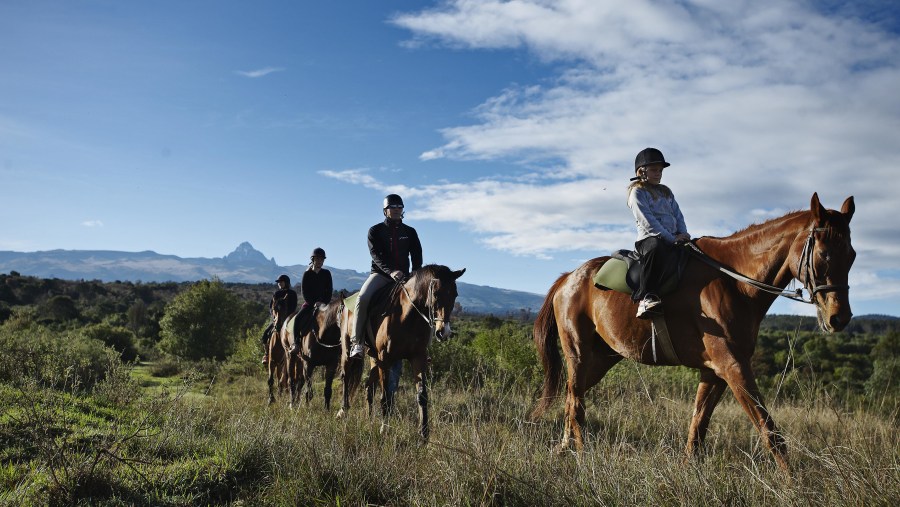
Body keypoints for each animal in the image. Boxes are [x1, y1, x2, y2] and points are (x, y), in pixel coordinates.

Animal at [336, 264, 464, 442]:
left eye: (455, 294)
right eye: (436, 293)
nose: (443, 332)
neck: (408, 315)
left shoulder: (418, 358)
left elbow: (422, 395)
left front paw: (424, 434)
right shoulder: (385, 359)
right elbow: (385, 397)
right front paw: (384, 429)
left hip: (374, 358)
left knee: (369, 387)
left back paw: (369, 420)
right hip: (348, 352)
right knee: (346, 377)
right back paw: (343, 411)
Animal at [532, 192, 856, 470]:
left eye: (852, 255)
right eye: (824, 254)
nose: (840, 318)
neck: (734, 282)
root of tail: (568, 278)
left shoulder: (714, 372)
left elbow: (698, 426)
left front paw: (688, 470)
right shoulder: (733, 366)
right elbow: (769, 431)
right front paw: (793, 484)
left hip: (602, 359)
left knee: (571, 396)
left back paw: (563, 448)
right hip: (579, 354)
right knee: (576, 402)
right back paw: (582, 455)